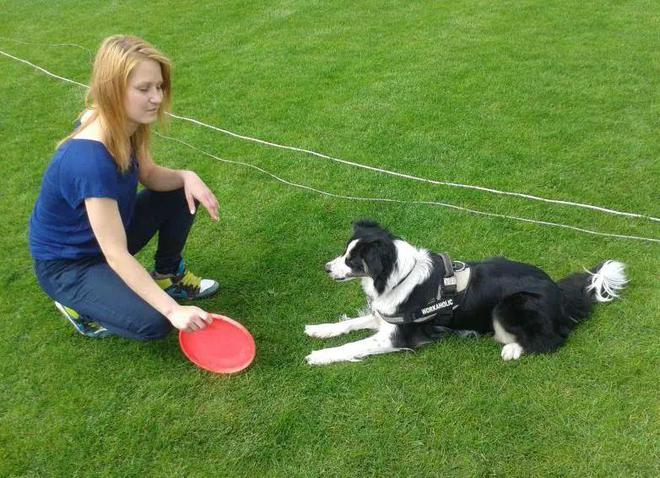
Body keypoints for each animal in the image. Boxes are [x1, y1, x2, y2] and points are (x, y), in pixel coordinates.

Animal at [304, 221, 624, 366]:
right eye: (345, 253)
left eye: (352, 261)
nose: (326, 268)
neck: (396, 277)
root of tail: (559, 292)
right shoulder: (386, 316)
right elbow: (350, 324)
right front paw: (319, 330)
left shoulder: (401, 334)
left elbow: (353, 346)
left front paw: (320, 355)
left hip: (510, 305)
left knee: (553, 339)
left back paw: (512, 349)